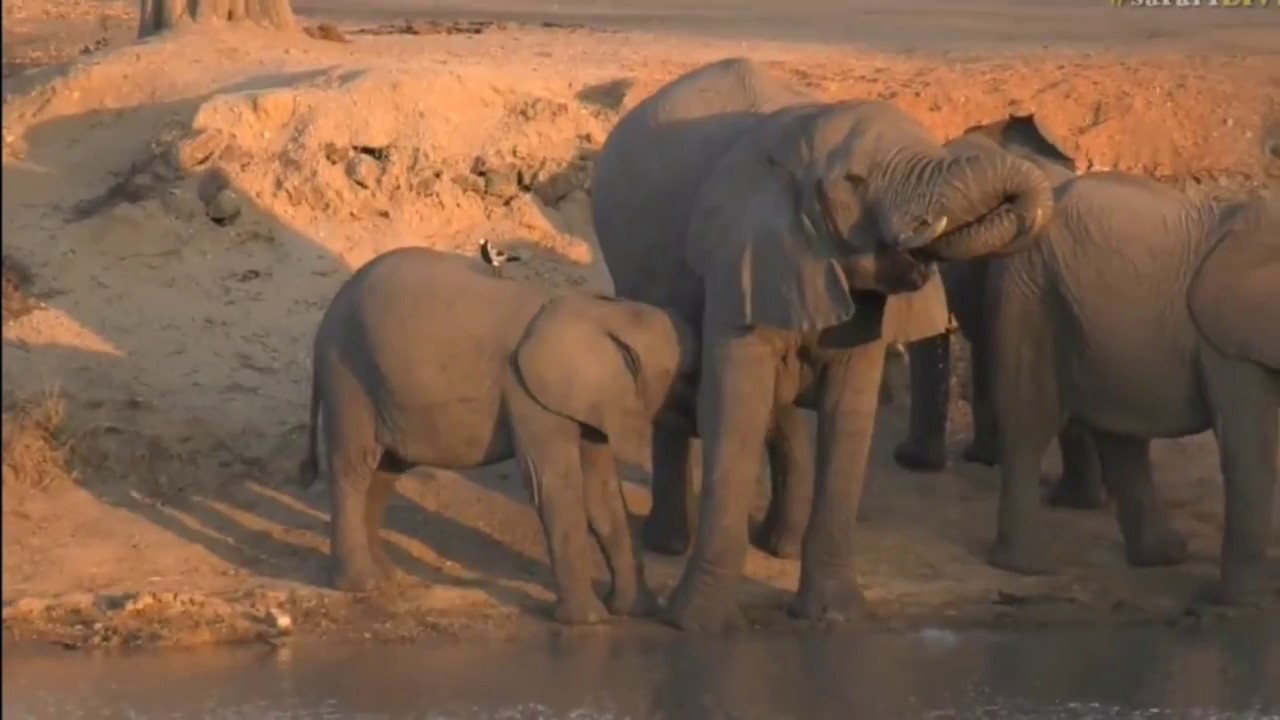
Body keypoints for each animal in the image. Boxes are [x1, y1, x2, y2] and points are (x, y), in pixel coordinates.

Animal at [296, 247, 699, 624]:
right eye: (690, 377)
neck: (600, 313)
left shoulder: (586, 398)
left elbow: (602, 491)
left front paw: (635, 612)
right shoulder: (527, 394)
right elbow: (554, 485)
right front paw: (588, 621)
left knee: (386, 471)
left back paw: (385, 575)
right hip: (347, 375)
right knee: (355, 468)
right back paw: (361, 584)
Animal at [590, 57, 1057, 630]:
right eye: (855, 182)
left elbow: (848, 408)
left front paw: (833, 616)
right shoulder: (739, 251)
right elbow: (736, 402)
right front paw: (697, 626)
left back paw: (780, 547)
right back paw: (670, 544)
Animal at [931, 115, 1278, 605]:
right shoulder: (1227, 345)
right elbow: (1249, 446)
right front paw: (1238, 602)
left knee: (1120, 434)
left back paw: (1162, 557)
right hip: (1032, 295)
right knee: (1031, 424)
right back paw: (1026, 567)